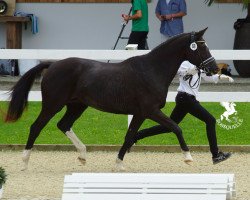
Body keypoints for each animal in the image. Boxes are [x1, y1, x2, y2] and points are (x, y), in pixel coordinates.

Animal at [4, 27, 218, 170]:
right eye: (201, 48)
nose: (215, 68)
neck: (151, 70)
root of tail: (52, 65)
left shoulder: (140, 113)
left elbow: (130, 135)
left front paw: (119, 164)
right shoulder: (151, 110)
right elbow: (176, 127)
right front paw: (188, 157)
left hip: (77, 105)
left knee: (63, 124)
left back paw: (83, 155)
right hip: (52, 104)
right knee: (36, 127)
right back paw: (24, 162)